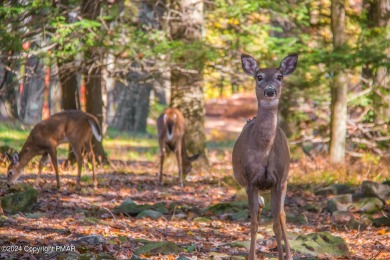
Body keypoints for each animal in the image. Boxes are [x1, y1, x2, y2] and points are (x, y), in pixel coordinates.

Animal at [232, 53, 298, 258]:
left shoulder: (277, 180)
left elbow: (276, 223)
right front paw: (251, 256)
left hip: (285, 179)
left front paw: (282, 256)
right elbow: (254, 224)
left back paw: (288, 255)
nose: (270, 91)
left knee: (282, 215)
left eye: (280, 76)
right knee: (264, 209)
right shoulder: (251, 181)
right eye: (259, 76)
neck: (264, 152)